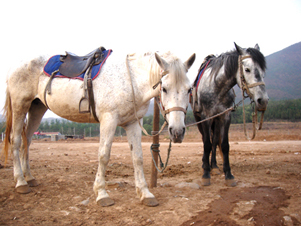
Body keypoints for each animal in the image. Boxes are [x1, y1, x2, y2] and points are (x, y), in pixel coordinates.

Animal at [3, 50, 196, 207]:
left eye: (189, 90)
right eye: (164, 88)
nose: (177, 132)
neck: (130, 81)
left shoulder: (132, 123)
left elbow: (138, 158)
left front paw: (145, 193)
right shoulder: (108, 120)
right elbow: (104, 156)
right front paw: (102, 194)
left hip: (37, 108)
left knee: (27, 141)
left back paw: (29, 178)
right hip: (20, 105)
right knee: (16, 141)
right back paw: (21, 182)